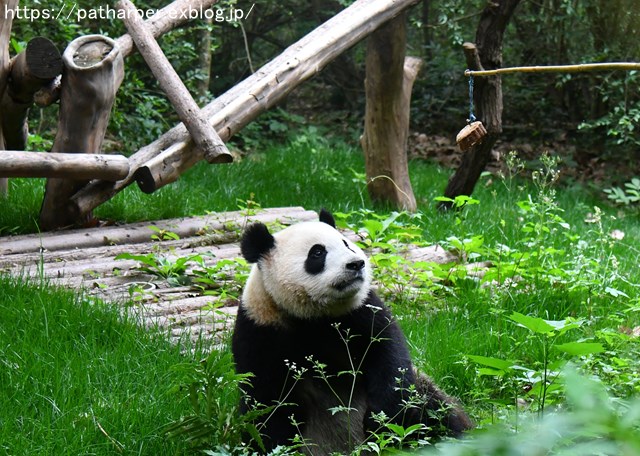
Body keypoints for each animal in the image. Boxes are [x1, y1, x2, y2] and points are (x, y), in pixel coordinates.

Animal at [232, 209, 472, 452]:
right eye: (317, 252)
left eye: (346, 244)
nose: (356, 264)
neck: (311, 315)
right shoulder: (260, 329)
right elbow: (265, 400)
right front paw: (278, 445)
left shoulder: (361, 310)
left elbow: (389, 356)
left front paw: (382, 422)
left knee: (435, 409)